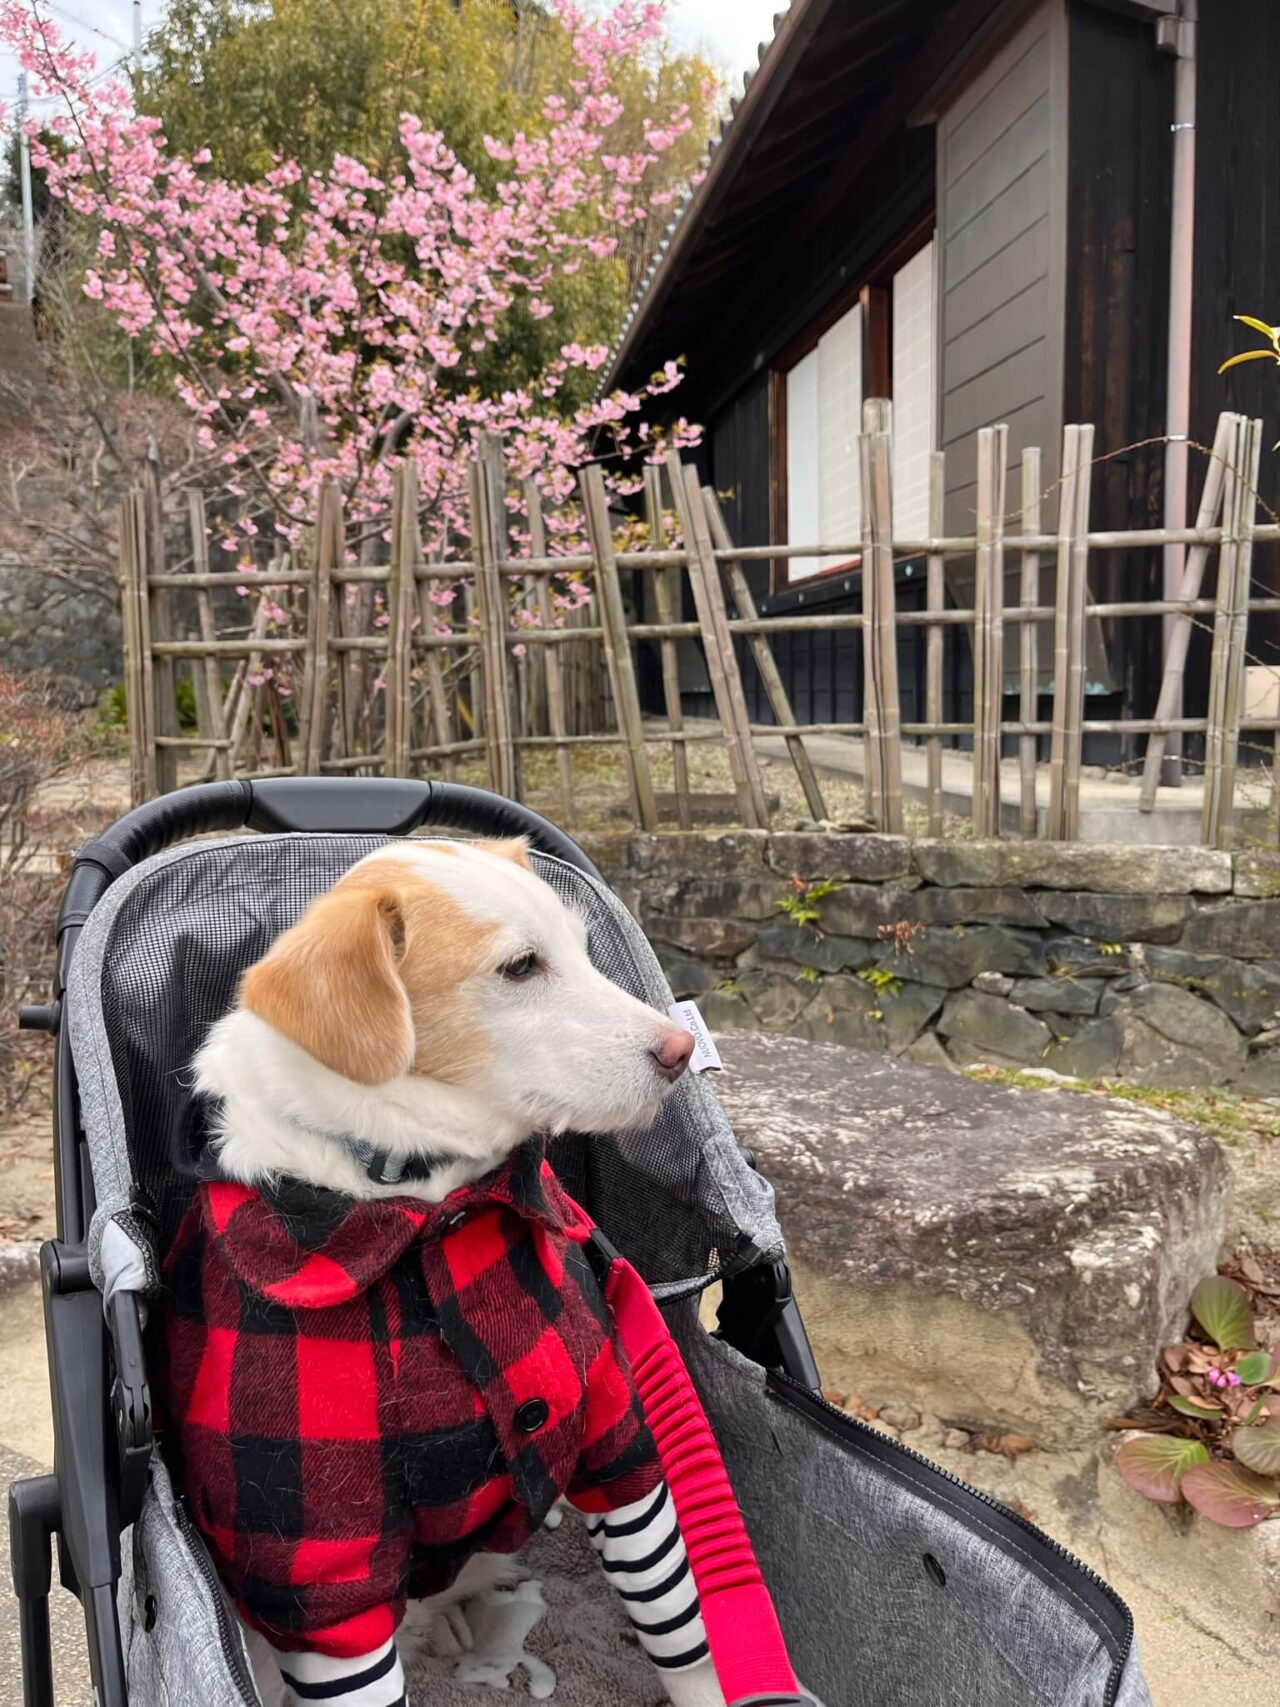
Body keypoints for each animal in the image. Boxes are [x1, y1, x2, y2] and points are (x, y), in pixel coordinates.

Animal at [160, 839, 723, 1707]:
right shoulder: (320, 1572)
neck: (430, 1199)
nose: (681, 1050)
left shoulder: (618, 1439)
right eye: (521, 965)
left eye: (583, 947)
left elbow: (681, 1627)